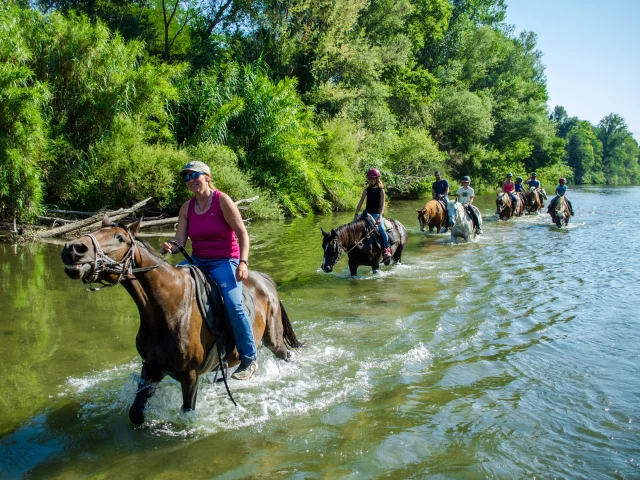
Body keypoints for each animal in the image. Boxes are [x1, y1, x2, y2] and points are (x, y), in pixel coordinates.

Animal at [58, 216, 302, 426]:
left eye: (119, 237)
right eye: (98, 230)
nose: (73, 249)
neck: (168, 309)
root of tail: (265, 279)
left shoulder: (189, 375)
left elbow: (187, 412)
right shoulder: (151, 366)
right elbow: (136, 412)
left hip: (274, 340)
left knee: (285, 355)